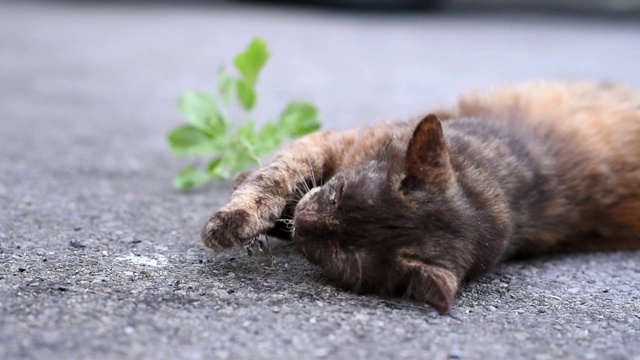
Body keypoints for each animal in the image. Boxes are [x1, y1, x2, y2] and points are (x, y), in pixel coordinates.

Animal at [200, 81, 640, 312]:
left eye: (341, 256)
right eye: (338, 196)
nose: (306, 225)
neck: (511, 195)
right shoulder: (330, 143)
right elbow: (273, 177)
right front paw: (237, 216)